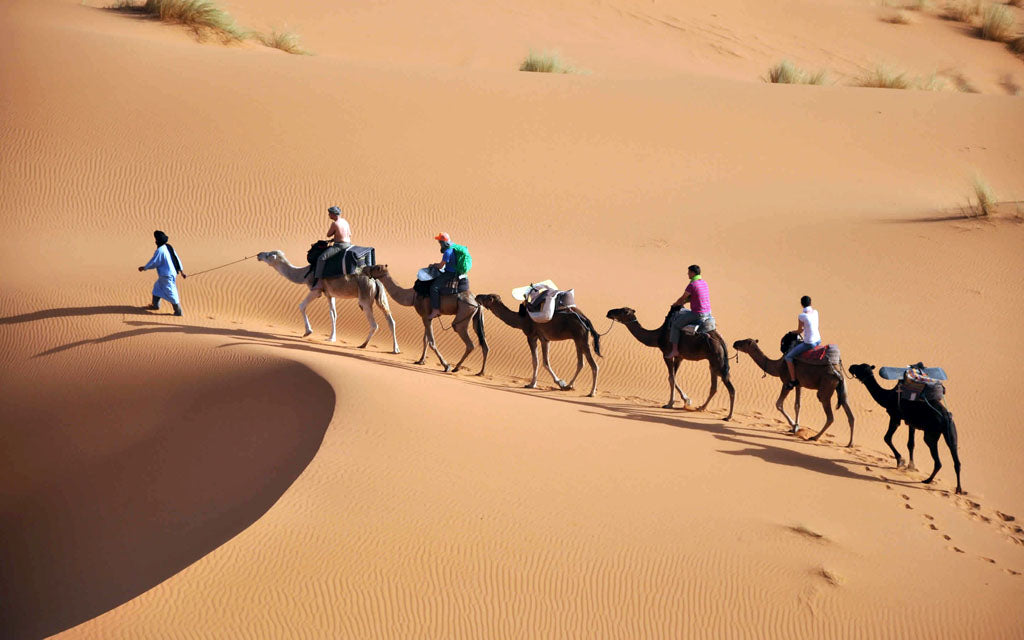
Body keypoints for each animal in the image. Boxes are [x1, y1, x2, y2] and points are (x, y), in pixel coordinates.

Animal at [256, 249, 399, 352]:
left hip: (365, 297)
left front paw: (308, 332)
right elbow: (333, 314)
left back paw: (363, 345)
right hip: (381, 297)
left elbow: (301, 306)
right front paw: (331, 337)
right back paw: (395, 349)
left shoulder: (316, 289)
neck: (304, 274)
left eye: (269, 255)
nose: (259, 254)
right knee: (390, 320)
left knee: (374, 324)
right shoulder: (330, 294)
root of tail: (375, 279)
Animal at [602, 305, 733, 419]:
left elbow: (671, 378)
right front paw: (686, 400)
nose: (609, 312)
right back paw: (701, 408)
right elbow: (674, 377)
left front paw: (670, 404)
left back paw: (728, 416)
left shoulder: (666, 354)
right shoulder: (679, 357)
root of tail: (721, 341)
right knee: (714, 387)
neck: (657, 336)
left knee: (729, 386)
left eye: (623, 311)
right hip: (713, 362)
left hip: (717, 360)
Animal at [847, 362, 958, 491]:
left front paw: (900, 461)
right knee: (956, 458)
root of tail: (946, 417)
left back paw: (928, 480)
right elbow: (910, 444)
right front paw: (911, 466)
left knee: (938, 460)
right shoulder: (911, 422)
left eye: (859, 368)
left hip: (931, 434)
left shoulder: (895, 416)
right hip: (951, 432)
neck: (887, 396)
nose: (851, 366)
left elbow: (887, 438)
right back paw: (958, 489)